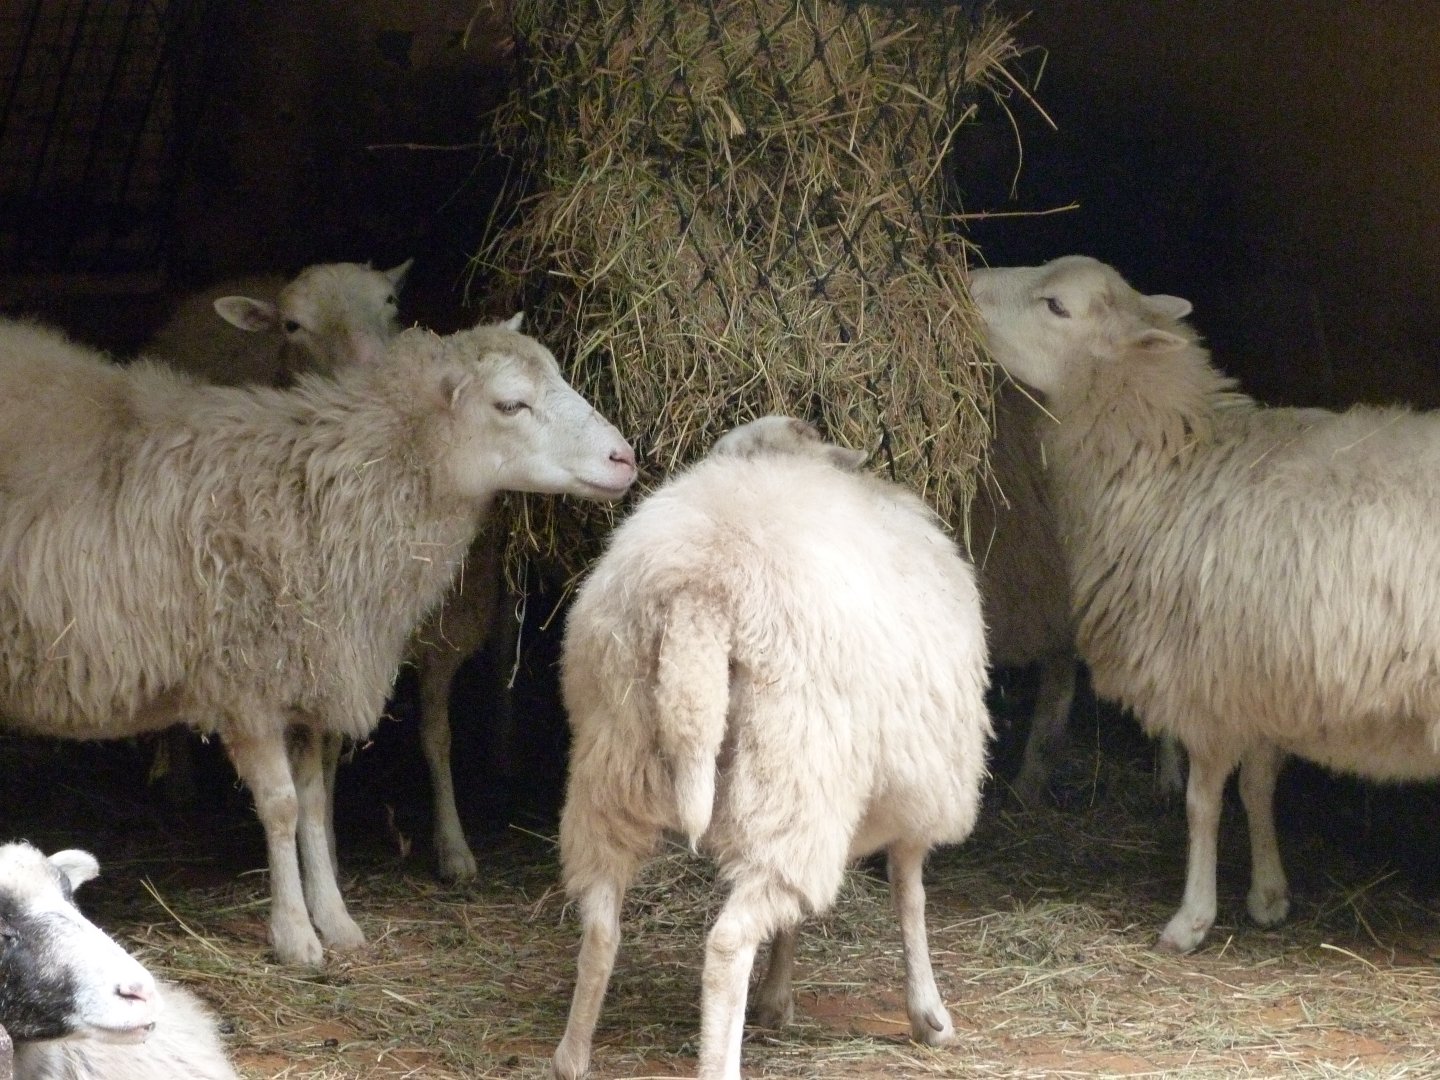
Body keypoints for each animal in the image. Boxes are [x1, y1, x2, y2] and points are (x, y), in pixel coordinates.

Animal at [0, 315, 636, 967]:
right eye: (510, 404)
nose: (626, 457)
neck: (323, 489)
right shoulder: (246, 683)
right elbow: (281, 806)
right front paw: (295, 935)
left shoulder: (306, 678)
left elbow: (311, 803)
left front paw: (336, 919)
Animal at [551, 416, 992, 1080]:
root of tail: (701, 590)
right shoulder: (916, 789)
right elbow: (909, 895)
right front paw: (929, 1016)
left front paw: (776, 999)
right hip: (791, 766)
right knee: (728, 941)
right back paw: (718, 1062)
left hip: (617, 759)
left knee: (602, 922)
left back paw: (571, 1055)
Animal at [969, 253, 1440, 953]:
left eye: (1056, 305)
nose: (966, 282)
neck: (1169, 461)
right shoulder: (1262, 680)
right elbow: (1258, 786)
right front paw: (1269, 895)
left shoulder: (1205, 677)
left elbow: (1204, 802)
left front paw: (1192, 918)